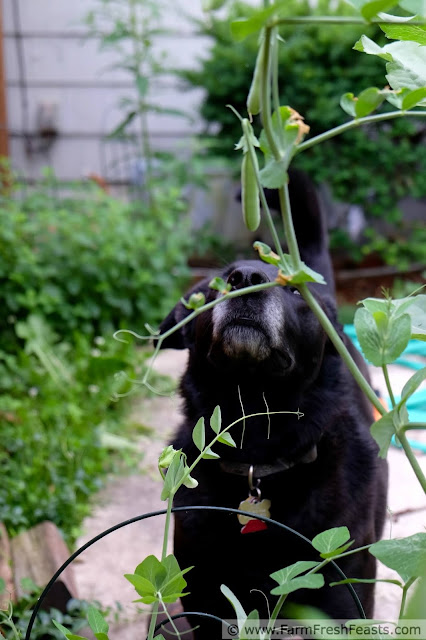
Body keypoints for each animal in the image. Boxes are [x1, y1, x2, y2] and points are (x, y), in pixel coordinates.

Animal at [158, 172, 388, 636]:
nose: (245, 277)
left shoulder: (341, 602)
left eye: (292, 289)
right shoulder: (207, 601)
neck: (257, 452)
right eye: (219, 281)